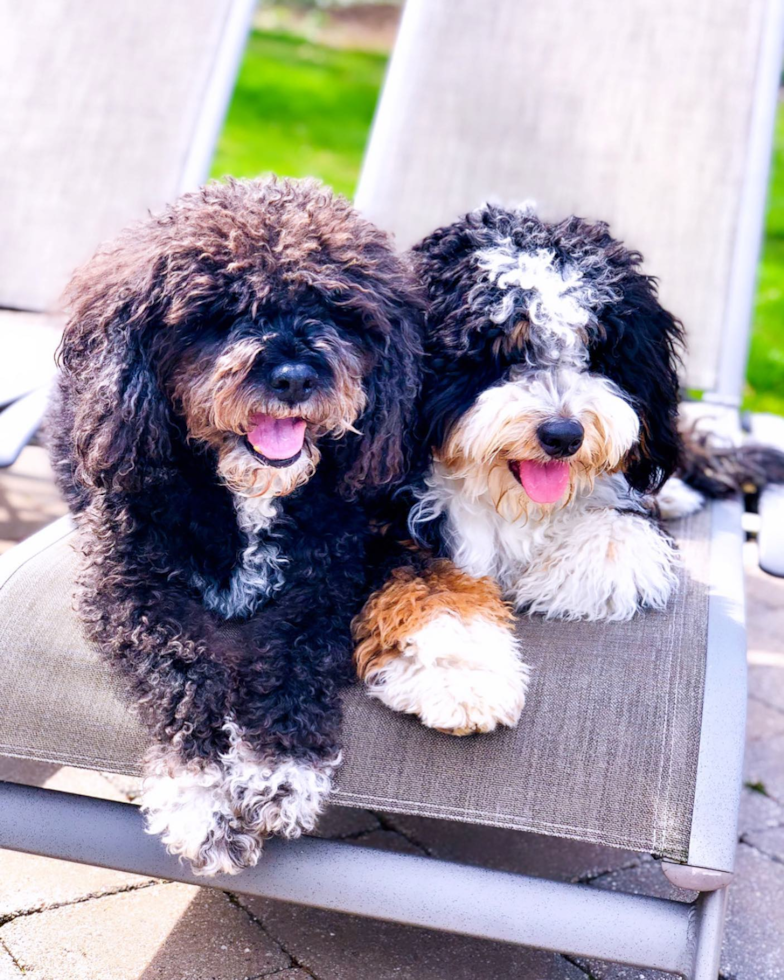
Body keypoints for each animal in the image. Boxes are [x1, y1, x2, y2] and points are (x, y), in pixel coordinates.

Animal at [48, 174, 422, 872]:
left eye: (339, 310)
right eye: (218, 313)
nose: (296, 376)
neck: (246, 498)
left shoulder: (326, 587)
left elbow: (294, 663)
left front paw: (280, 772)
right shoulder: (128, 588)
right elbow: (183, 675)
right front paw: (202, 803)